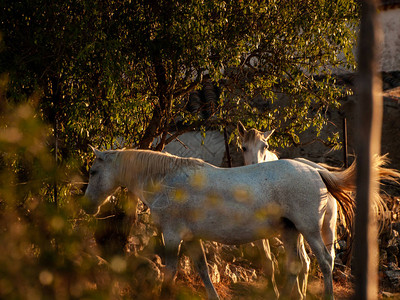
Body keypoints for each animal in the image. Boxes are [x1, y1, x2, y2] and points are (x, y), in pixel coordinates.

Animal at [82, 145, 396, 298]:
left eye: (94, 171)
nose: (87, 206)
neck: (168, 181)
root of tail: (315, 170)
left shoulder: (172, 236)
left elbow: (170, 271)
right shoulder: (192, 238)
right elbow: (203, 271)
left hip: (309, 230)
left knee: (325, 262)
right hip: (291, 232)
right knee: (298, 265)